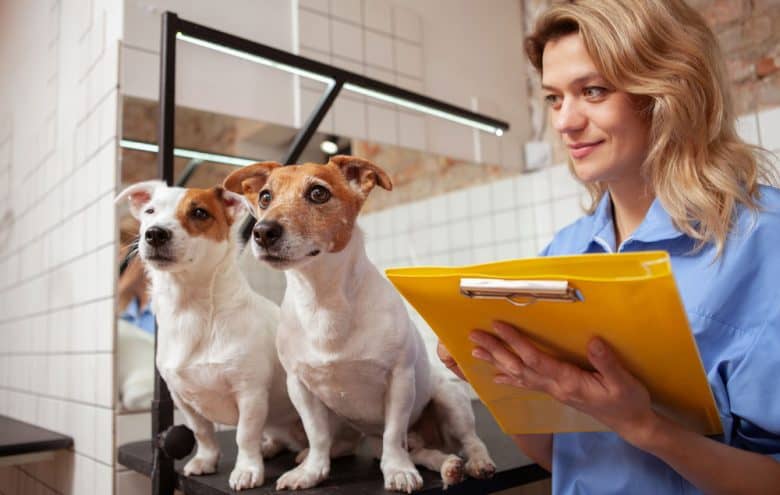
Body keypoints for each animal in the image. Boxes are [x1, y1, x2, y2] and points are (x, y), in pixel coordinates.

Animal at [116, 183, 304, 492]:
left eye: (199, 213)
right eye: (150, 211)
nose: (154, 233)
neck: (191, 309)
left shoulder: (250, 394)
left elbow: (244, 435)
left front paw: (247, 470)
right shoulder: (182, 398)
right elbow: (202, 432)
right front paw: (206, 460)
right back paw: (270, 446)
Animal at [224, 158, 494, 492]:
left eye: (318, 193)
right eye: (264, 197)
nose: (262, 232)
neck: (323, 300)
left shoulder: (399, 380)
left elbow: (394, 432)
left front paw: (397, 471)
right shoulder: (300, 386)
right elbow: (317, 435)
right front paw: (312, 471)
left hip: (451, 400)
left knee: (467, 440)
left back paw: (475, 462)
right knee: (420, 451)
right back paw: (447, 466)